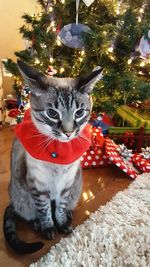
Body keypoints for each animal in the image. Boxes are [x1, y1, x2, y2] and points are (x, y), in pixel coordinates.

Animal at [2, 59, 102, 254]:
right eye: (53, 113)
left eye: (79, 113)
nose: (69, 133)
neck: (59, 151)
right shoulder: (38, 186)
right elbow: (45, 210)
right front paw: (48, 228)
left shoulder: (66, 185)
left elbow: (60, 208)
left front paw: (62, 224)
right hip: (21, 195)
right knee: (28, 212)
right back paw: (37, 224)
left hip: (76, 186)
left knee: (67, 205)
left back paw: (69, 216)